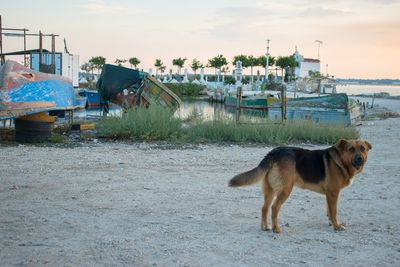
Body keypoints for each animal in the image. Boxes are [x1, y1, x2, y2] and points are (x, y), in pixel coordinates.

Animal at [228, 139, 372, 233]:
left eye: (363, 149)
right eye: (351, 149)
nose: (360, 159)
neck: (341, 161)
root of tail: (274, 152)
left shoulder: (329, 195)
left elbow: (329, 211)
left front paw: (332, 223)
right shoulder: (333, 193)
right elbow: (334, 211)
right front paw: (337, 226)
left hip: (270, 190)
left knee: (264, 208)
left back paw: (266, 227)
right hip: (286, 189)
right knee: (274, 207)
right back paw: (276, 228)